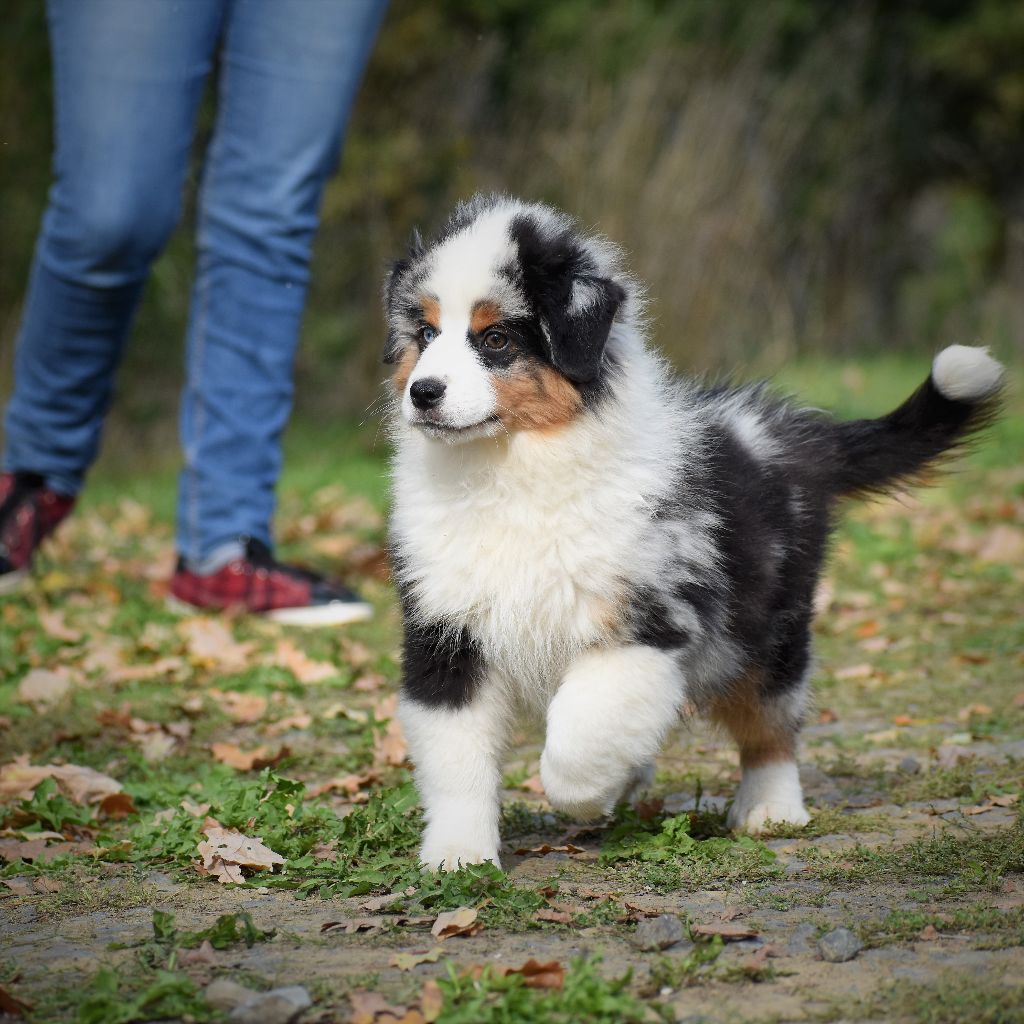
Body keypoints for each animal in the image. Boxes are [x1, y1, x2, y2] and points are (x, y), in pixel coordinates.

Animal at [382, 193, 999, 872]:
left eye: (495, 339)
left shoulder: (647, 623)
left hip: (765, 629)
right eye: (426, 335)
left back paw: (771, 809)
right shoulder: (446, 633)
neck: (510, 470)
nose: (424, 392)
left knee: (770, 723)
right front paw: (458, 857)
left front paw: (586, 797)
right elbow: (456, 758)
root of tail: (796, 437)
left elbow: (577, 739)